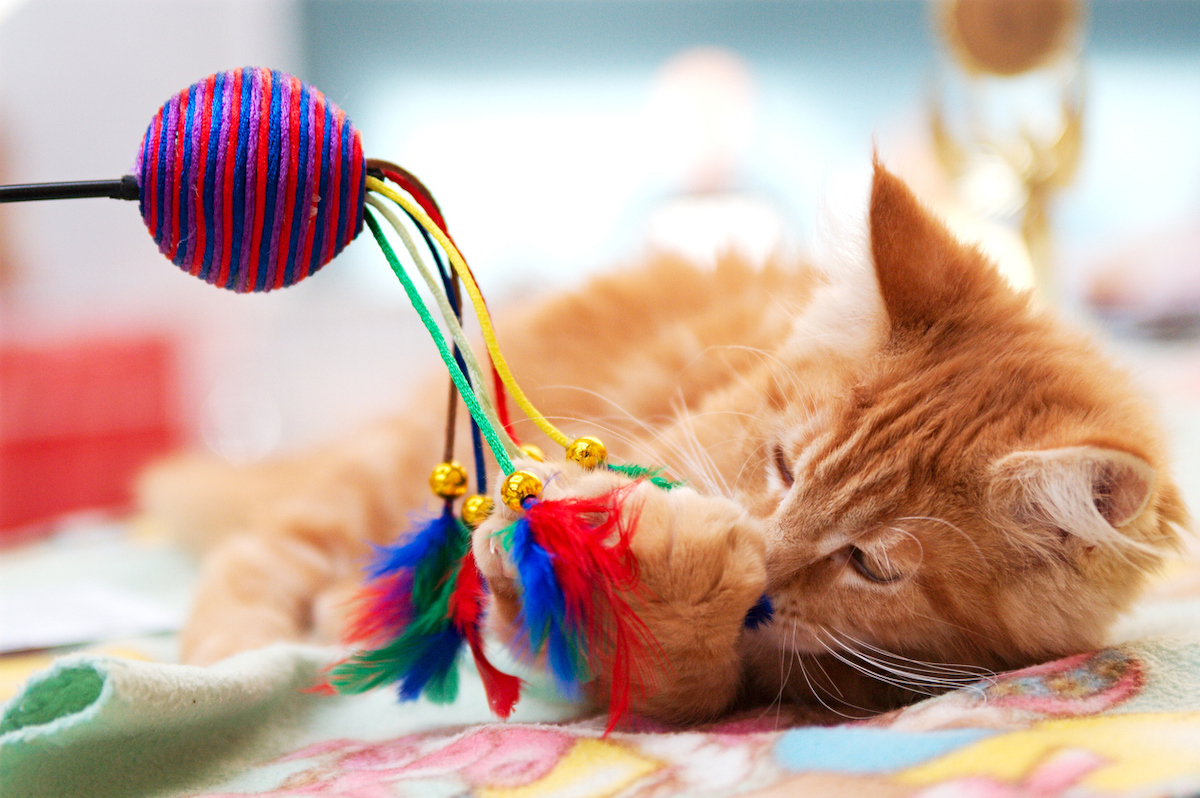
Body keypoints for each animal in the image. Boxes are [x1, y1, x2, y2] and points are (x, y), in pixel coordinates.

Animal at [138, 162, 1180, 720]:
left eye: (873, 565)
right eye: (782, 465)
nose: (766, 567)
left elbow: (678, 680)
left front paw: (676, 585)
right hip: (375, 479)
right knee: (256, 555)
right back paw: (231, 663)